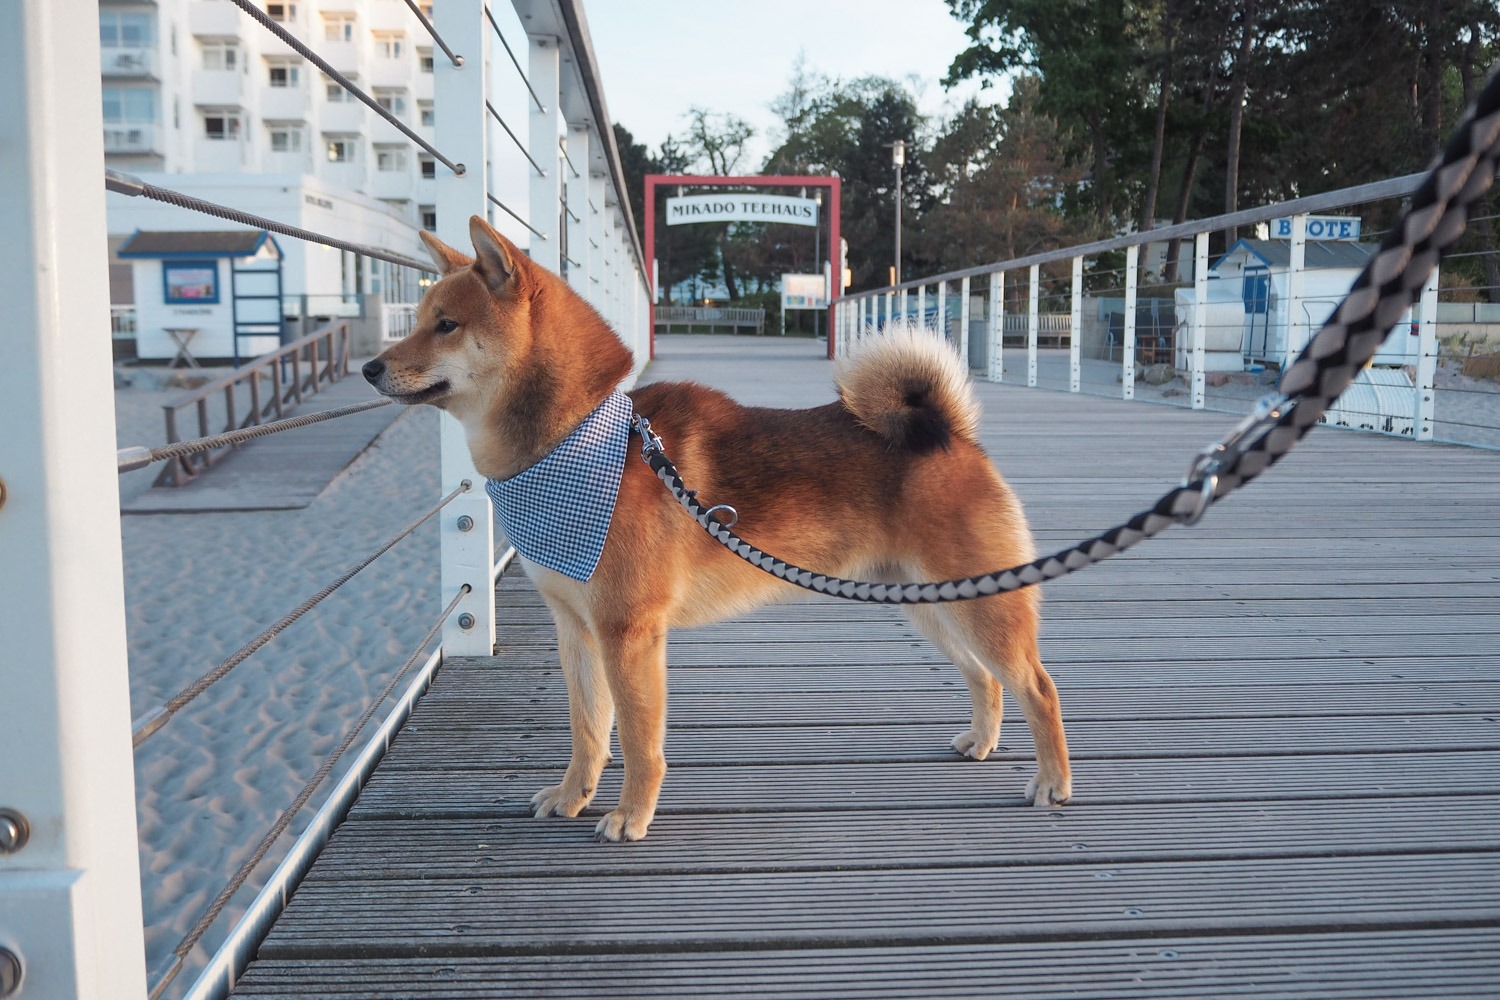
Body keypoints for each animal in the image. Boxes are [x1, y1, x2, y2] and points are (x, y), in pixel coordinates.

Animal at [361, 215, 1068, 839]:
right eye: (418, 322)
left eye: (446, 325)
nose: (369, 367)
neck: (575, 438)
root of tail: (948, 432)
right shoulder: (578, 630)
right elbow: (588, 729)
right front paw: (572, 797)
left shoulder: (628, 633)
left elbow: (638, 740)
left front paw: (630, 815)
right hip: (932, 607)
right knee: (985, 677)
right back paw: (981, 741)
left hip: (977, 606)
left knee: (1037, 684)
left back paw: (1053, 781)